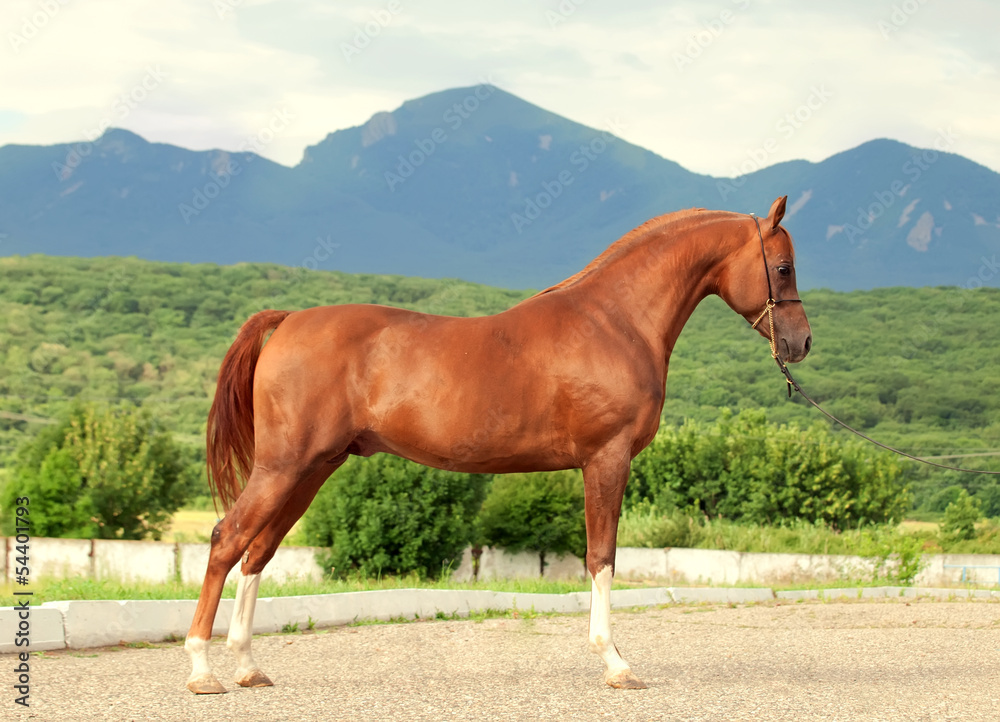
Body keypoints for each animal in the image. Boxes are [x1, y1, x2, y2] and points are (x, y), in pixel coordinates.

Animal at [185, 195, 811, 693]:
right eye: (782, 266)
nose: (801, 343)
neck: (615, 321)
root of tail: (288, 320)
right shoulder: (605, 460)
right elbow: (602, 558)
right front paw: (616, 664)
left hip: (312, 469)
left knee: (258, 553)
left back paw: (247, 668)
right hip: (283, 467)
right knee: (226, 540)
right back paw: (202, 671)